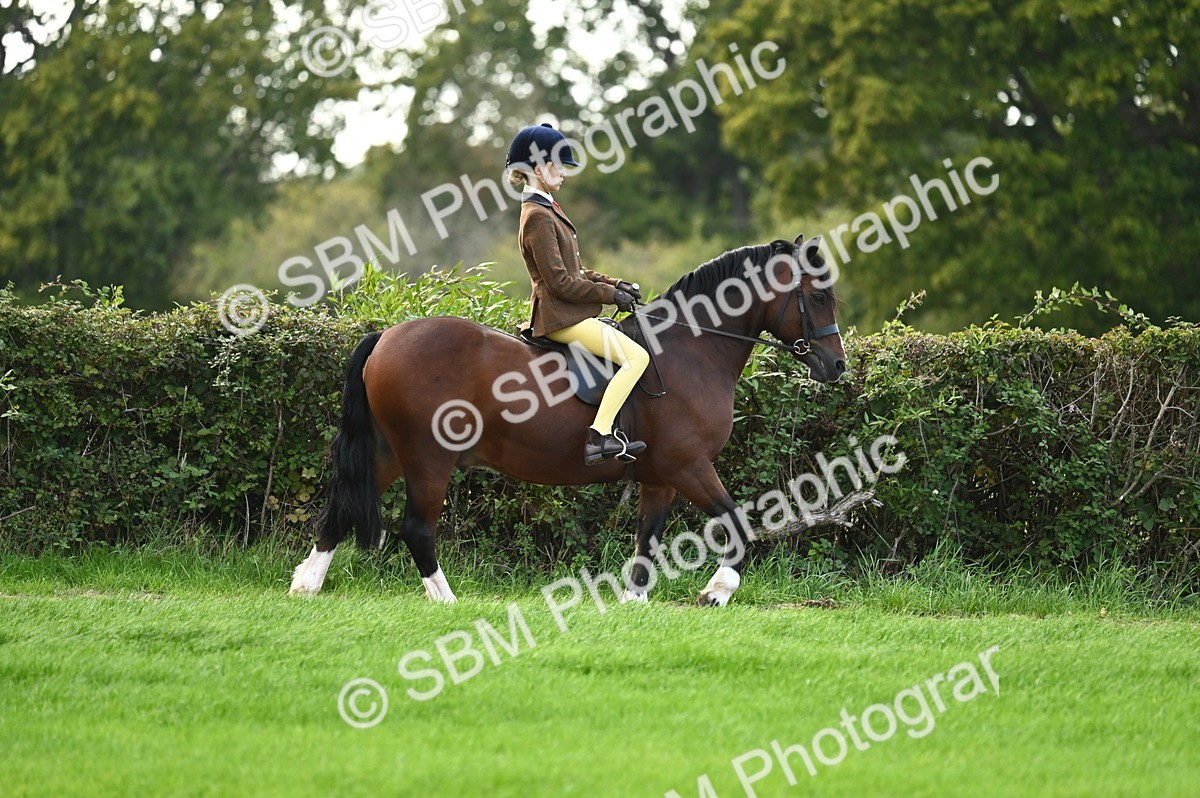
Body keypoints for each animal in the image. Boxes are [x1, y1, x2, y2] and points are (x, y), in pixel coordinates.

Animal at [289, 235, 846, 606]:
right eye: (819, 296)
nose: (838, 367)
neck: (691, 351)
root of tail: (386, 336)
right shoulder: (688, 466)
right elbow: (737, 521)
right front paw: (717, 591)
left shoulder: (660, 477)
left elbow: (647, 538)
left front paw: (634, 602)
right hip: (429, 458)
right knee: (417, 528)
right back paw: (445, 601)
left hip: (388, 452)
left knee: (339, 510)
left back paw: (305, 585)